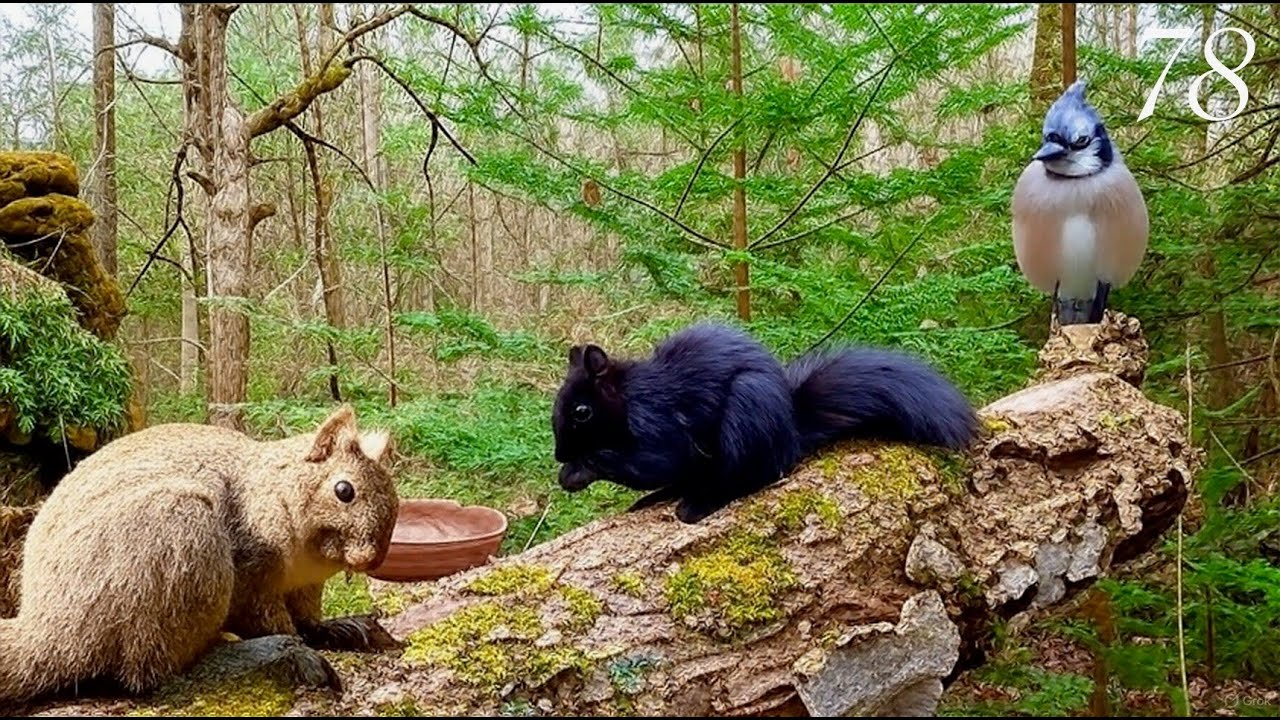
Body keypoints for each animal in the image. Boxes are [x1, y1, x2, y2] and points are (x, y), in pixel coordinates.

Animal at [0, 404, 401, 711]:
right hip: (175, 541)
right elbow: (268, 618)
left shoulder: (305, 586)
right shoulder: (250, 573)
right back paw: (256, 657)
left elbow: (307, 616)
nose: (370, 559)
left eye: (394, 497)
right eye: (344, 490)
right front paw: (297, 644)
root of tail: (48, 629)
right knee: (151, 671)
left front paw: (333, 628)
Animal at [552, 322, 979, 524]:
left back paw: (699, 504)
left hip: (749, 410)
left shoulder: (657, 420)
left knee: (749, 476)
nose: (558, 455)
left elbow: (657, 460)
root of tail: (791, 432)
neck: (627, 395)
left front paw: (577, 470)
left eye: (582, 412)